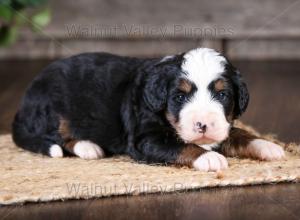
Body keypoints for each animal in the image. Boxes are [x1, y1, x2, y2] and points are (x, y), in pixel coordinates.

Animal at [12, 48, 286, 172]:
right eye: (179, 97)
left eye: (222, 95)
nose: (202, 125)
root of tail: (23, 103)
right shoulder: (145, 139)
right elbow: (182, 145)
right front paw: (208, 157)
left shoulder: (223, 126)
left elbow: (238, 132)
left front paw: (267, 145)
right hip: (53, 109)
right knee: (57, 136)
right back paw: (88, 147)